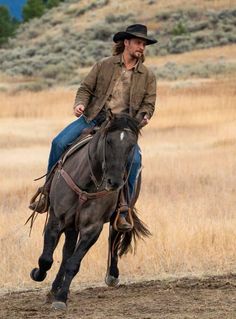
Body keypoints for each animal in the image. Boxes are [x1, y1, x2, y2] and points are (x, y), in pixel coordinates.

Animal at [30, 114, 149, 312]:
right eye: (108, 141)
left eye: (132, 145)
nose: (114, 182)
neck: (87, 183)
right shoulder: (56, 220)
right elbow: (47, 259)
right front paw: (37, 275)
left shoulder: (92, 228)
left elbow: (74, 263)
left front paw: (61, 298)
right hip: (71, 225)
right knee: (66, 252)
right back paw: (53, 289)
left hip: (117, 217)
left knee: (113, 238)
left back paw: (112, 275)